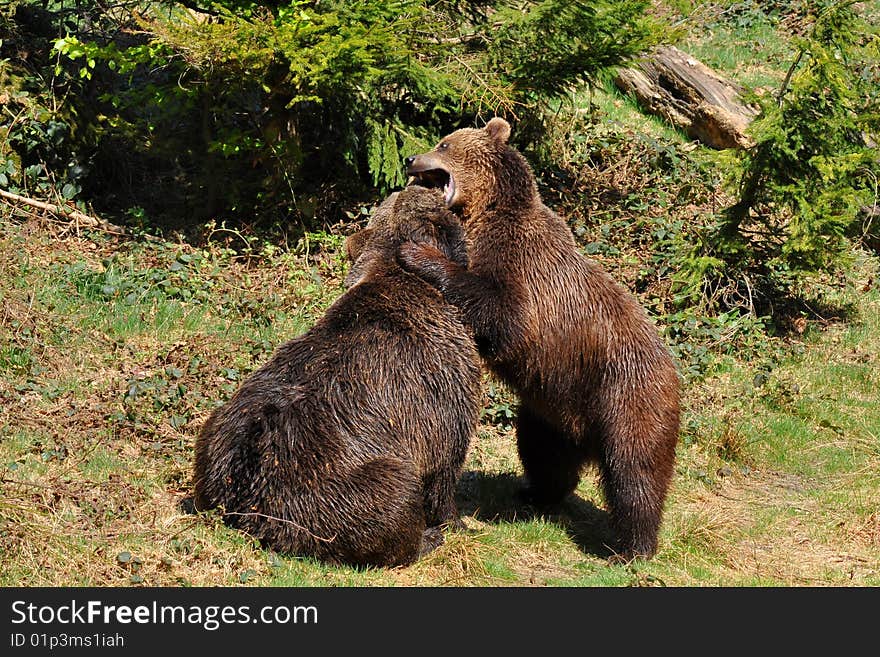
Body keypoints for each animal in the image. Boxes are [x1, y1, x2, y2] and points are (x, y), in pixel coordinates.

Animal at [193, 187, 482, 568]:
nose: (418, 183)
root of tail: (246, 503)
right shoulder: (440, 385)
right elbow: (445, 466)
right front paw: (457, 522)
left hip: (219, 437)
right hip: (333, 483)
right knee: (395, 492)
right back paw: (426, 539)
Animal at [398, 116, 680, 560]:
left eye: (443, 144)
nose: (410, 158)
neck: (486, 212)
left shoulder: (521, 267)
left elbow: (502, 314)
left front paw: (419, 254)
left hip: (627, 395)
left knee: (636, 471)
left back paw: (633, 546)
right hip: (553, 405)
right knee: (542, 451)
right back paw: (535, 493)